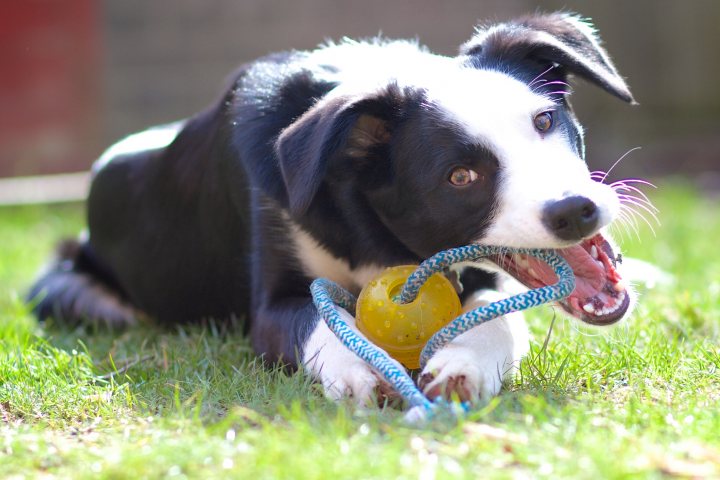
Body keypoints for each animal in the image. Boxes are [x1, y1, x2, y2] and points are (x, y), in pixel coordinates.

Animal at [28, 12, 636, 404]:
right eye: (460, 177)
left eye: (544, 120)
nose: (576, 210)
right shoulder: (271, 303)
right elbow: (317, 321)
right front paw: (360, 367)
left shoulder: (482, 275)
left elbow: (499, 319)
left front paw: (463, 365)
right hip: (72, 292)